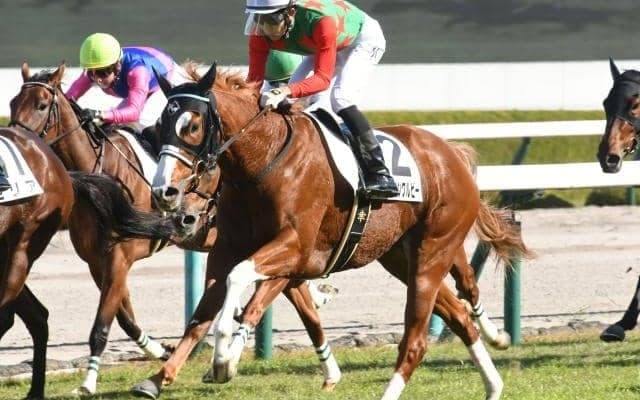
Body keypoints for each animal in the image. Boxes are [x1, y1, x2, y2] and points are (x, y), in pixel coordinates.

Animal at [129, 63, 531, 400]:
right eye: (157, 128)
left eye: (192, 126)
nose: (165, 193)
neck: (263, 163)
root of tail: (453, 155)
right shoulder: (231, 250)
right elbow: (202, 313)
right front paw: (160, 377)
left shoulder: (295, 248)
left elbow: (241, 284)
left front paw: (225, 353)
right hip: (402, 259)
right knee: (460, 316)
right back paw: (494, 382)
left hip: (434, 252)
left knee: (417, 340)